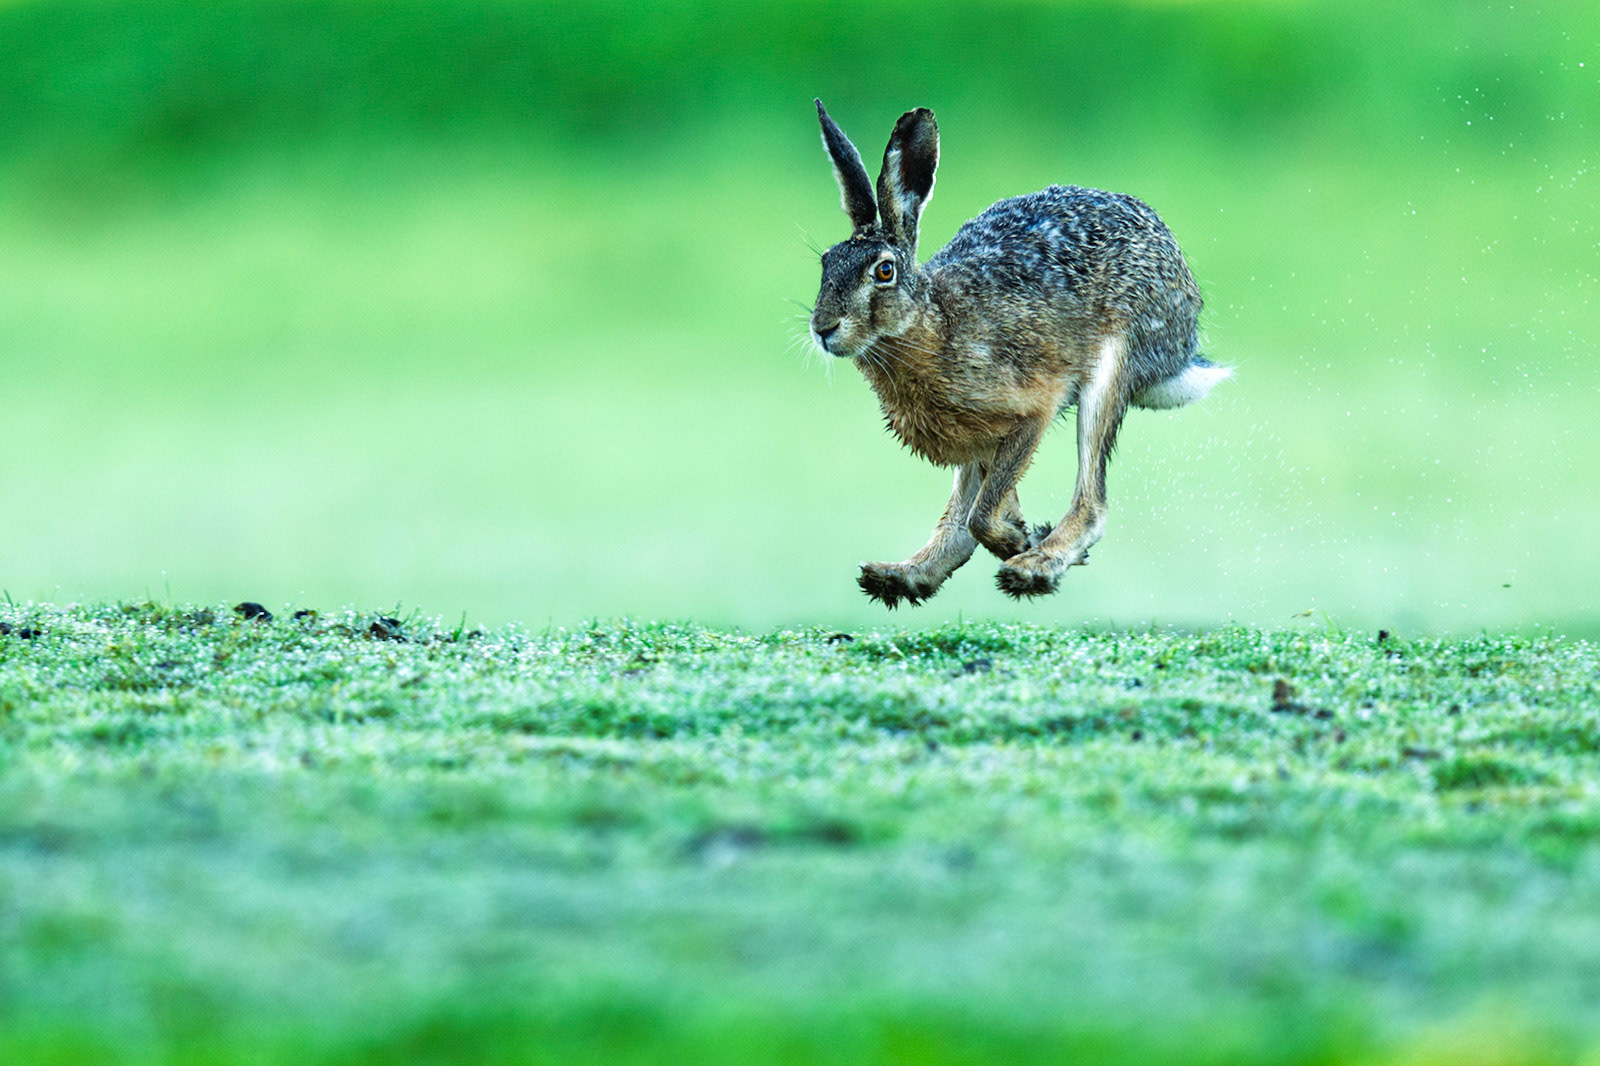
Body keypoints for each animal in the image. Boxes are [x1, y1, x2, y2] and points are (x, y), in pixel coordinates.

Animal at [807, 100, 1231, 607]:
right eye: (826, 264)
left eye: (884, 271)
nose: (822, 328)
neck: (933, 322)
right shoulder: (976, 439)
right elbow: (974, 510)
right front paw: (1016, 532)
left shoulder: (1029, 413)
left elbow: (981, 513)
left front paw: (1020, 541)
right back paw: (901, 575)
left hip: (1113, 366)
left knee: (1091, 502)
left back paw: (1033, 566)